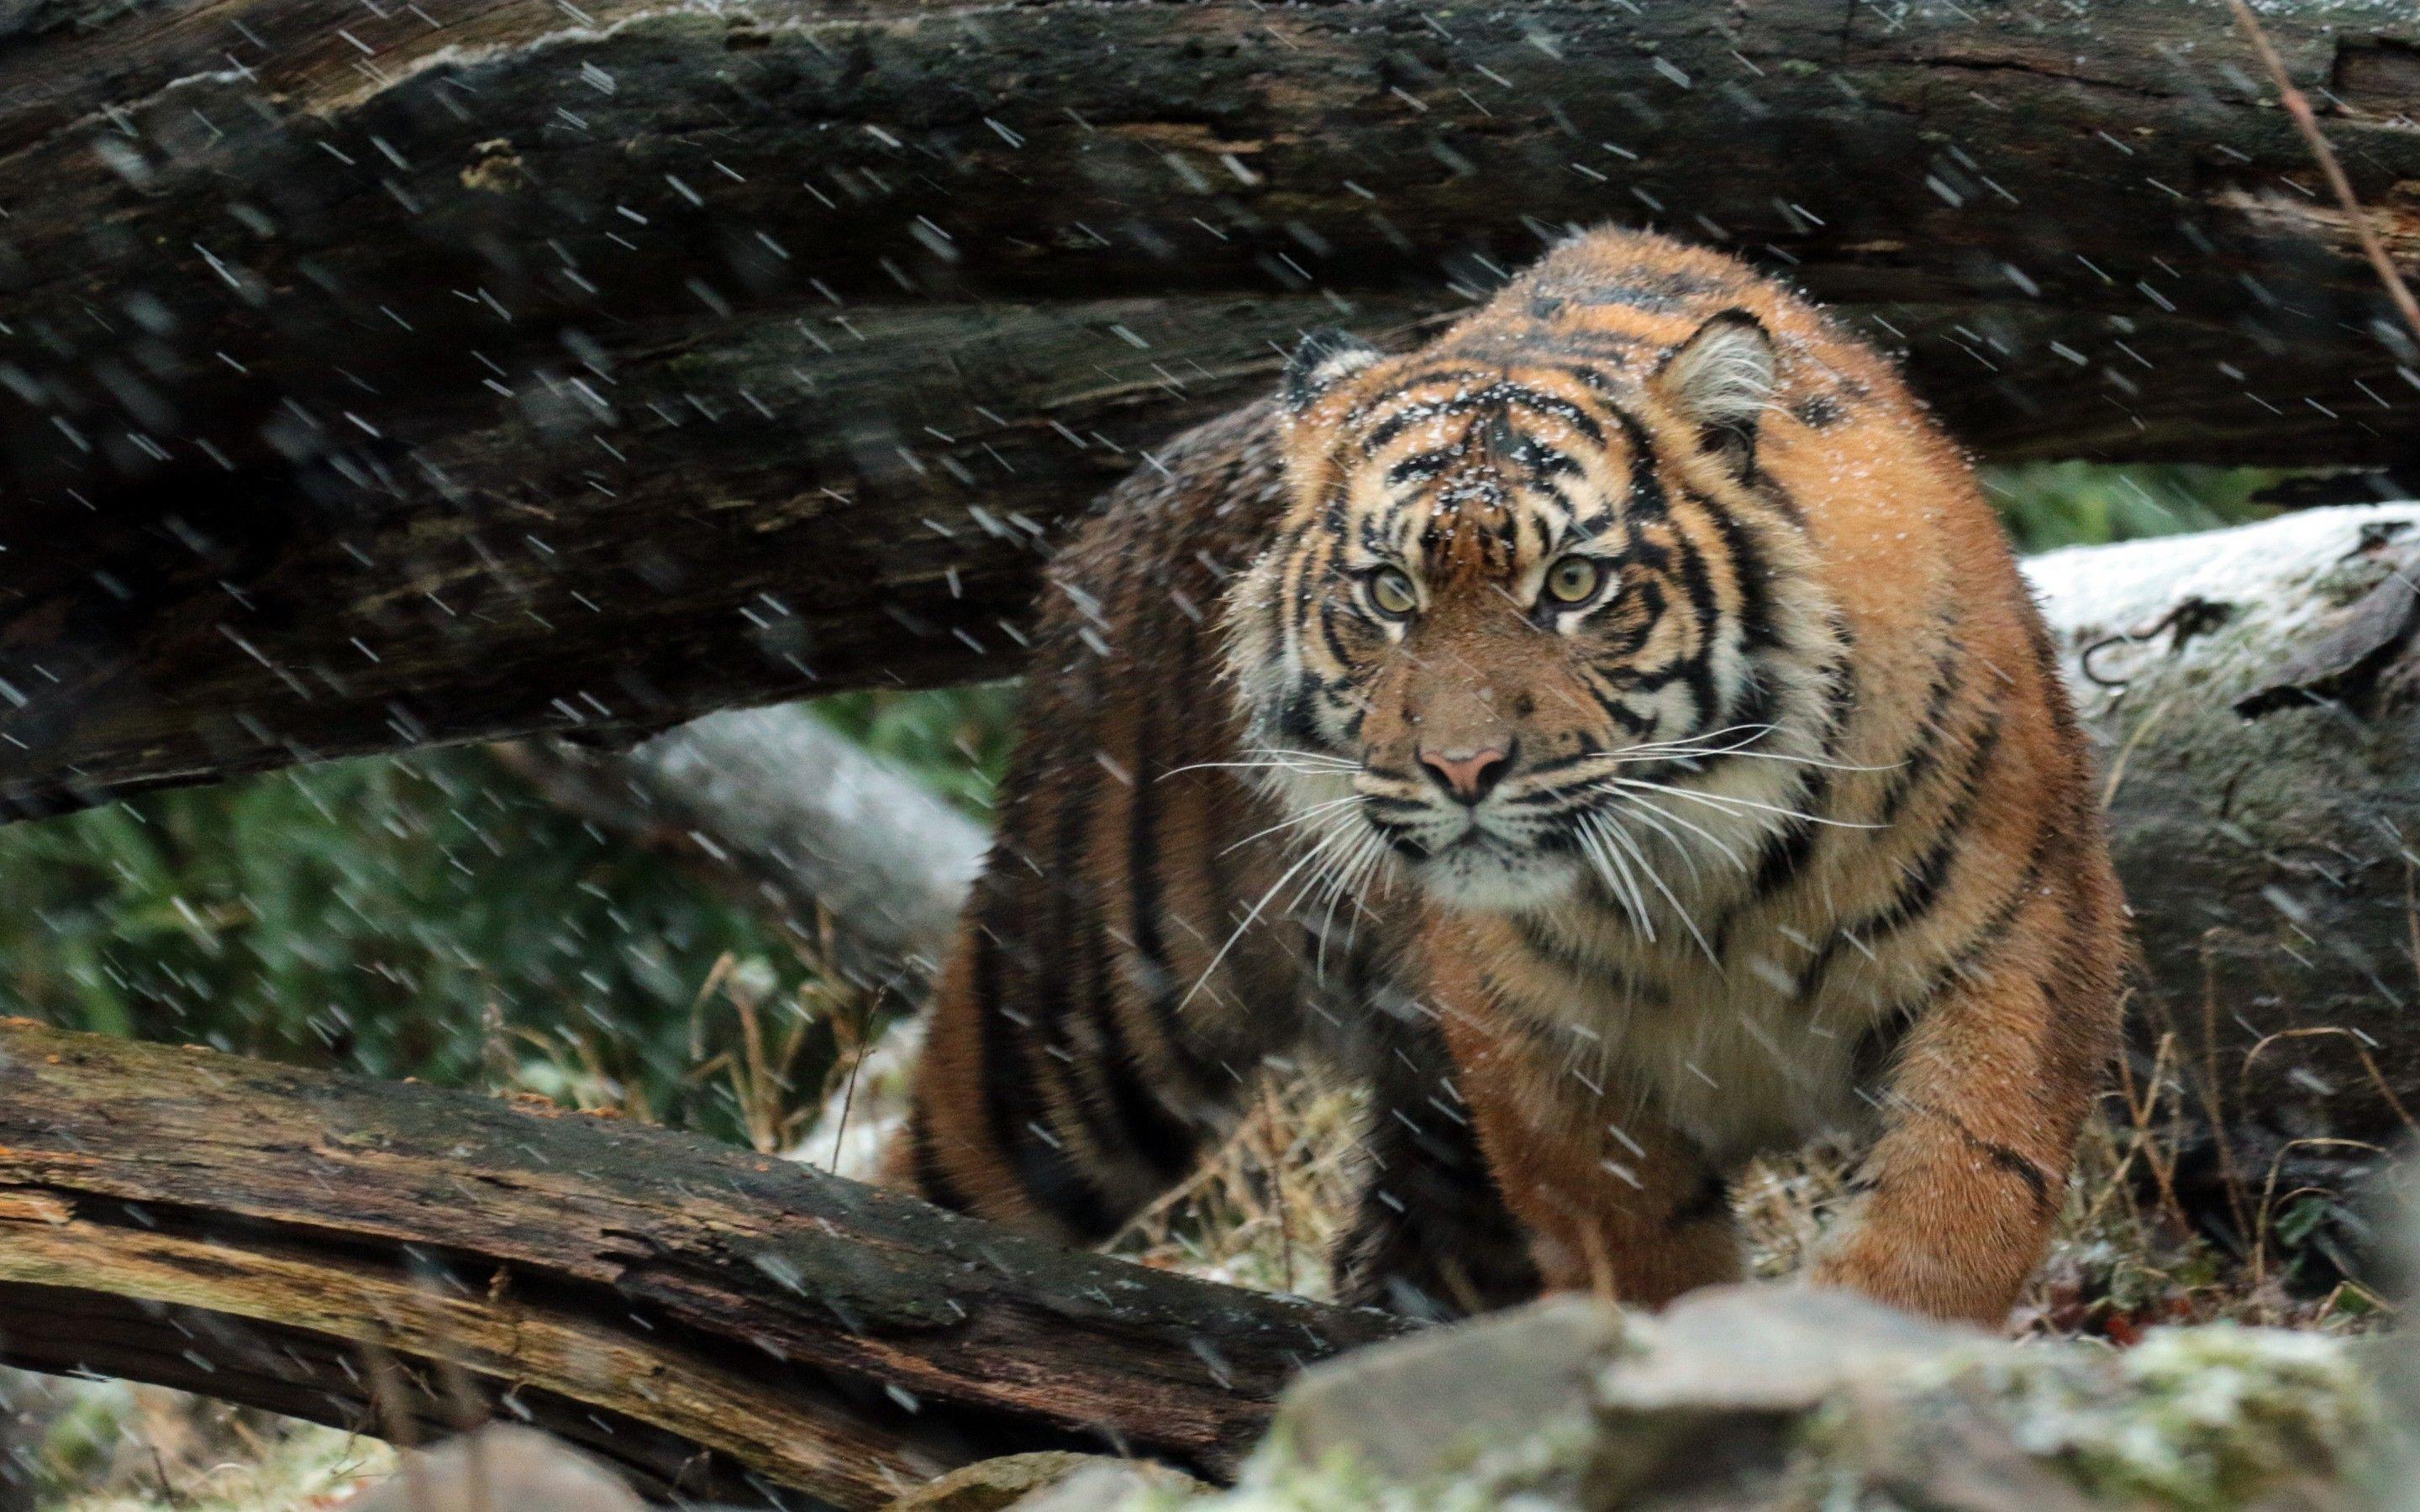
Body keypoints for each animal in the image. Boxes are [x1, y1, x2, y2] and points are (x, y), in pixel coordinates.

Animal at [884, 226, 2127, 1328]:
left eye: (1572, 584)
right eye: (1389, 594)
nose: (1463, 766)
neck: (1707, 886)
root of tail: (1112, 505)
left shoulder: (2020, 939)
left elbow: (1955, 1210)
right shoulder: (1535, 1051)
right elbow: (1641, 1249)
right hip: (1079, 1020)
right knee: (930, 1191)